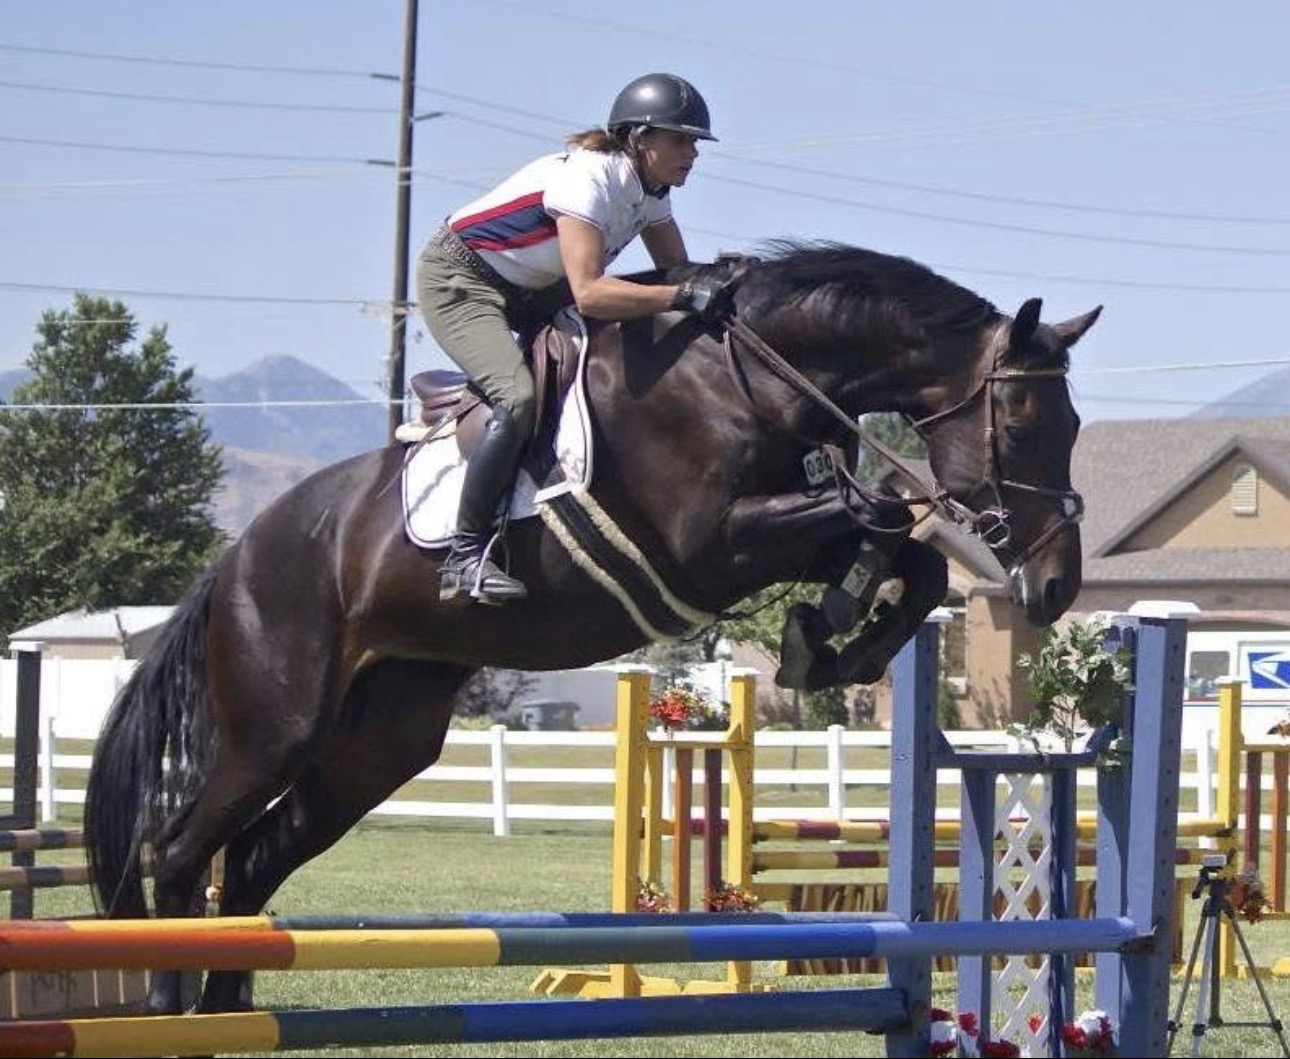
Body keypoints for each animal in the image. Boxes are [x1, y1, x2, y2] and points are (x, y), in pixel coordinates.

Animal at [84, 240, 1100, 1016]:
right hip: (276, 726)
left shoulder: (769, 532)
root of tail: (237, 559)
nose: (1056, 585)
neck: (744, 372)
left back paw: (224, 1009)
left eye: (1074, 421)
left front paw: (827, 639)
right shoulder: (713, 544)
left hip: (377, 744)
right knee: (181, 852)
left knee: (255, 860)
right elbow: (884, 516)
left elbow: (903, 549)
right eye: (1021, 419)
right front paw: (826, 635)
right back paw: (169, 1006)